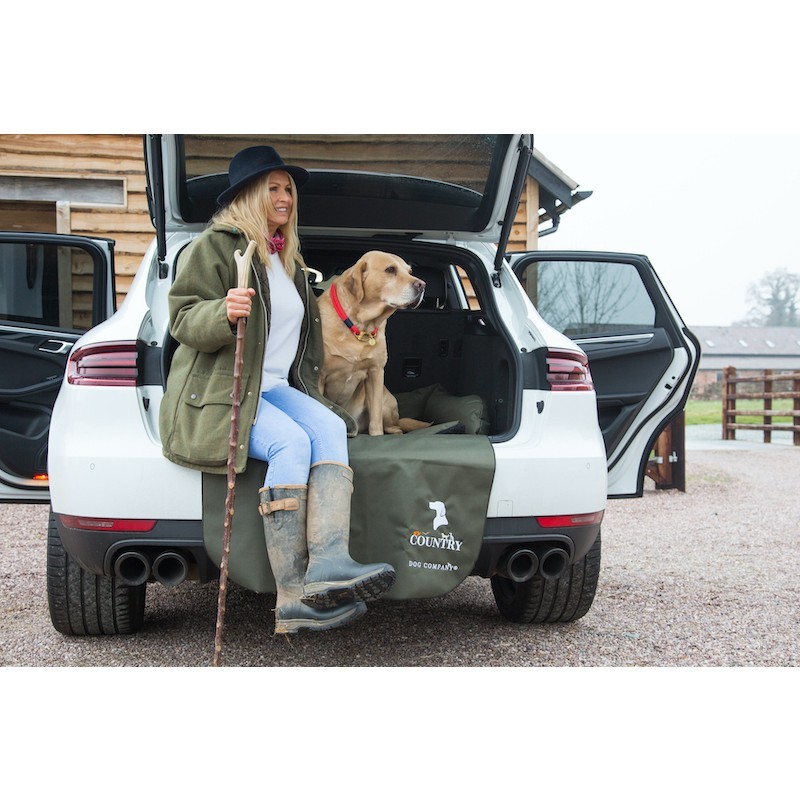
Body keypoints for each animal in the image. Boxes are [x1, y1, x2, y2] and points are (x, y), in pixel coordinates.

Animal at [318, 252, 432, 434]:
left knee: (394, 425)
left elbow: (375, 419)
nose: (422, 285)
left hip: (387, 403)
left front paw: (377, 436)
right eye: (390, 269)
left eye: (409, 271)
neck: (360, 326)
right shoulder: (319, 376)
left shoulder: (375, 373)